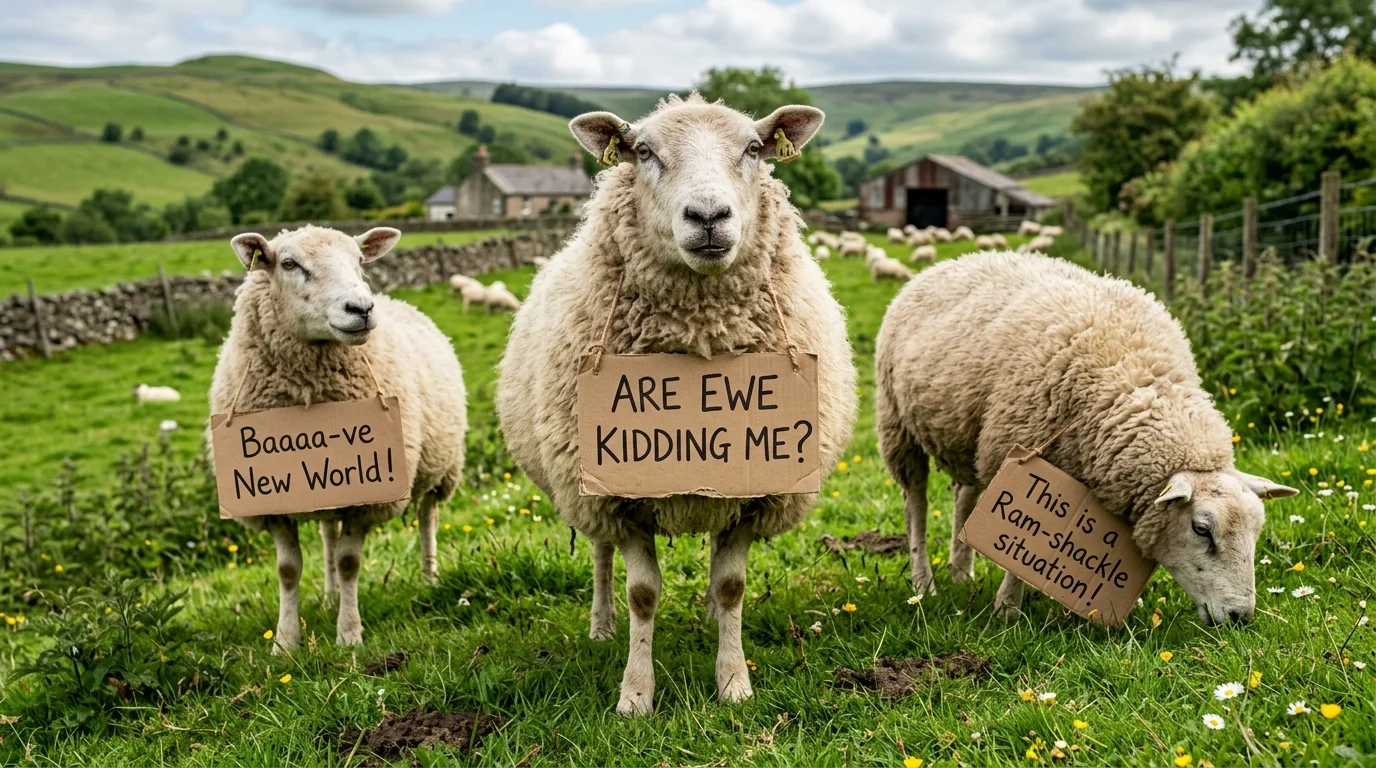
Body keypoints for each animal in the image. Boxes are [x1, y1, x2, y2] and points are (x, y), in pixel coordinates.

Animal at [208, 225, 467, 651]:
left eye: (359, 261)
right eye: (288, 263)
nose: (362, 309)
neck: (308, 394)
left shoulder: (368, 496)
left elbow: (350, 562)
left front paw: (348, 634)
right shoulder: (273, 501)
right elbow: (288, 569)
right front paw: (285, 642)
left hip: (439, 467)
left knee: (427, 516)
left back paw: (429, 578)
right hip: (326, 491)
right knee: (328, 532)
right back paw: (329, 596)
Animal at [499, 93, 858, 715]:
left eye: (754, 148)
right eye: (643, 151)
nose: (709, 216)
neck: (702, 335)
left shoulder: (753, 489)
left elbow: (733, 585)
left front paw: (733, 683)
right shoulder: (619, 495)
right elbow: (642, 594)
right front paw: (635, 695)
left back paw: (710, 615)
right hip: (583, 485)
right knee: (599, 555)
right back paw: (601, 624)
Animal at [874, 251, 1296, 625]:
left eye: (1257, 532)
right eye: (1201, 529)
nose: (1241, 617)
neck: (1138, 382)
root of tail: (949, 263)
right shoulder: (1017, 456)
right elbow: (1014, 556)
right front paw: (1008, 609)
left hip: (970, 435)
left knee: (965, 495)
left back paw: (961, 571)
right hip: (898, 425)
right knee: (915, 504)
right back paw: (923, 583)